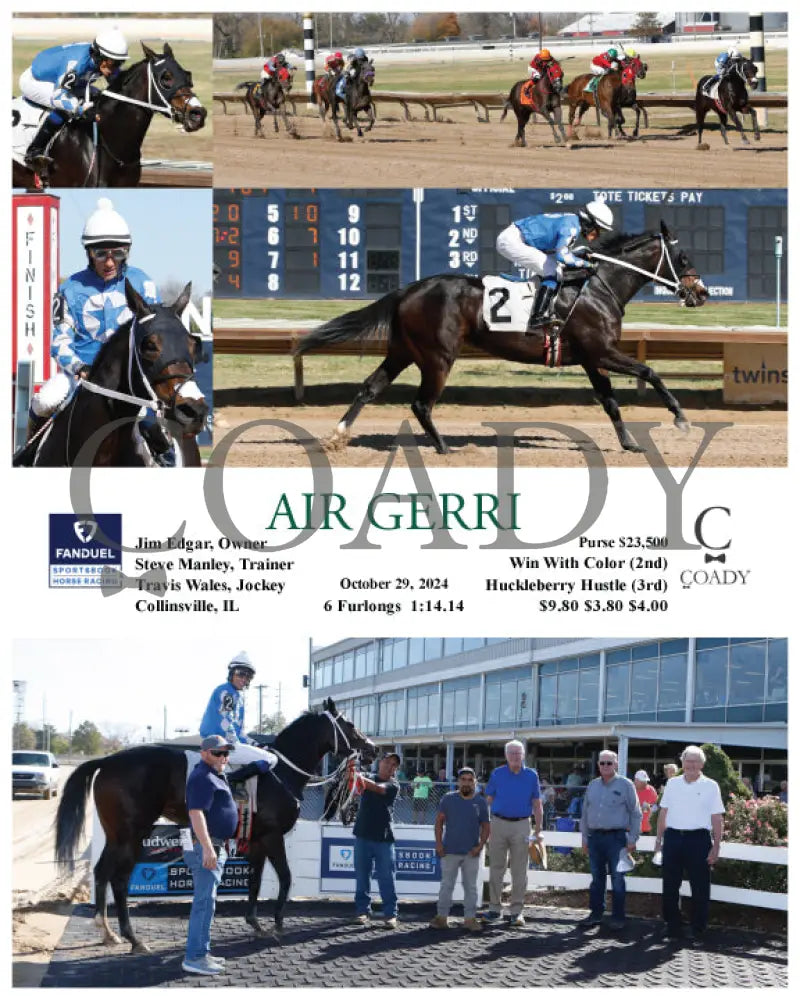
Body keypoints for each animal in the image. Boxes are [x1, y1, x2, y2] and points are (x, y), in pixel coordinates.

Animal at [54, 698, 376, 952]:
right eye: (349, 723)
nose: (372, 748)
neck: (281, 771)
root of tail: (107, 761)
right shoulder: (273, 837)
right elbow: (285, 877)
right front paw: (278, 923)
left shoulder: (257, 839)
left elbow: (255, 881)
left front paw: (255, 923)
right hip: (131, 835)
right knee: (119, 880)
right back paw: (133, 938)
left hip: (117, 835)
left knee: (102, 872)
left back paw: (108, 933)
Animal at [294, 222, 709, 455]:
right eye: (684, 258)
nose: (701, 293)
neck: (597, 285)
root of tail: (408, 289)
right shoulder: (603, 351)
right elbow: (651, 372)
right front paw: (681, 418)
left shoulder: (593, 359)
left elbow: (610, 403)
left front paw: (630, 444)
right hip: (438, 357)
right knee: (421, 404)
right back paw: (443, 447)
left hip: (403, 351)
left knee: (370, 387)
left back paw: (338, 435)